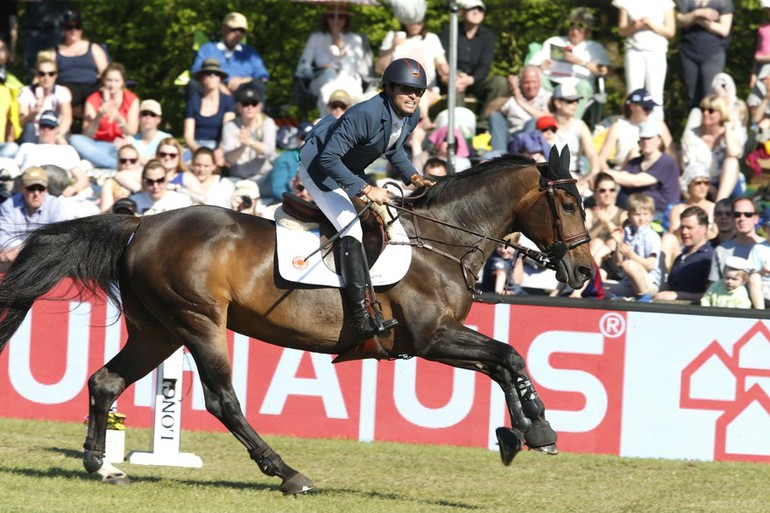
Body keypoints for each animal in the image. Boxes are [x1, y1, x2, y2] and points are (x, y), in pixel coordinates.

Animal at [0, 146, 592, 494]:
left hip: (159, 331)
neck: (440, 239)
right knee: (222, 400)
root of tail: (141, 223)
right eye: (567, 204)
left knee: (106, 381)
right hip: (198, 323)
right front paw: (538, 428)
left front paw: (522, 432)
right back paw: (286, 473)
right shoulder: (431, 337)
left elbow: (503, 362)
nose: (585, 271)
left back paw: (103, 465)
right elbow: (508, 354)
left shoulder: (440, 338)